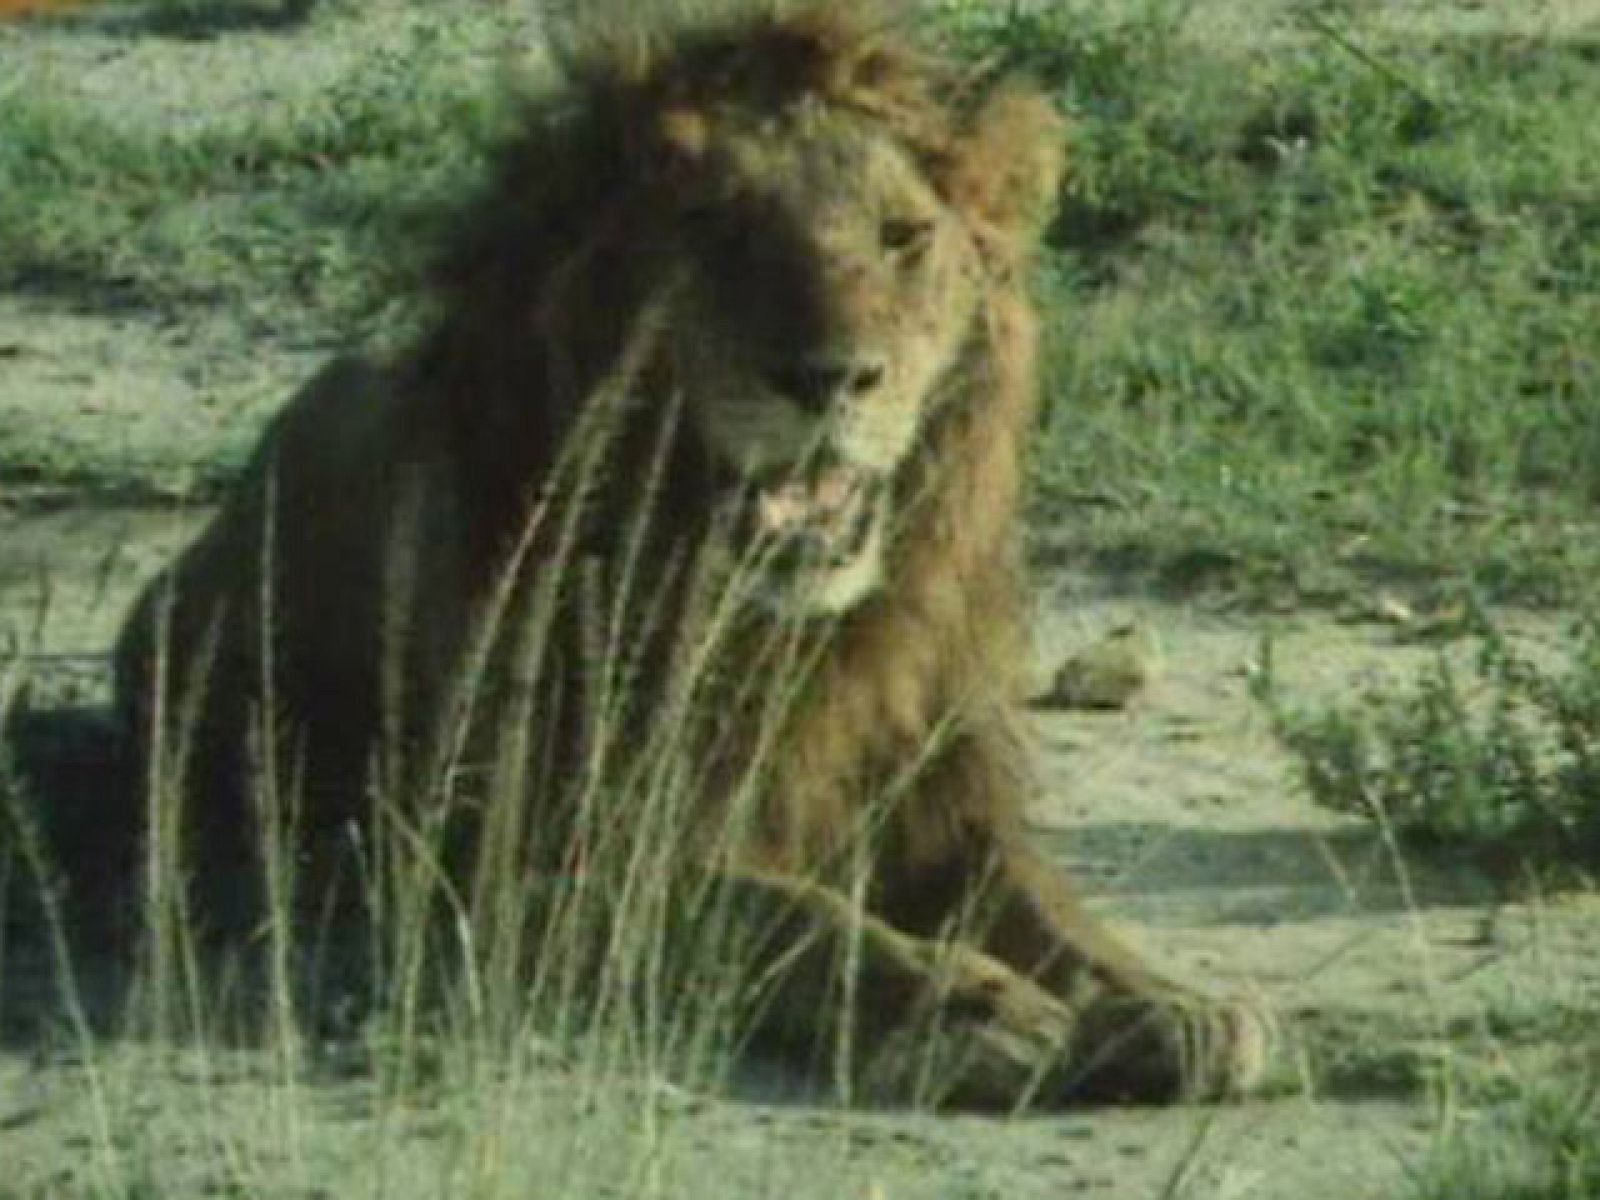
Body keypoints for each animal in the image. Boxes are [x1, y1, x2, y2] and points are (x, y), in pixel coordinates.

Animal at [113, 1, 1269, 1108]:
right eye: (715, 229)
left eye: (902, 236)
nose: (833, 377)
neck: (777, 633)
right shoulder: (523, 866)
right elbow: (771, 910)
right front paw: (968, 1013)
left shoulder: (940, 793)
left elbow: (1042, 902)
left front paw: (1165, 1002)